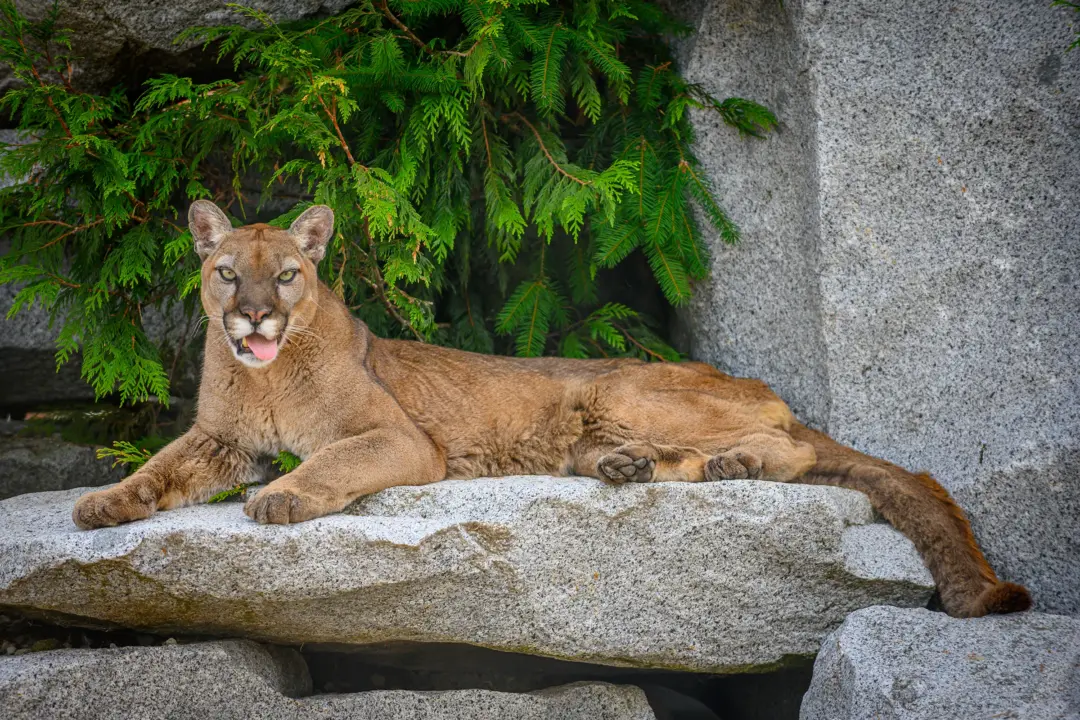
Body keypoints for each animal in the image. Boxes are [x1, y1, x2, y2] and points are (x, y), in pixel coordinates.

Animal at [72, 201, 1031, 619]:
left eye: (288, 276)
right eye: (227, 272)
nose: (253, 317)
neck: (266, 378)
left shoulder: (396, 438)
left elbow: (329, 462)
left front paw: (280, 498)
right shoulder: (219, 440)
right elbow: (160, 467)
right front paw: (103, 506)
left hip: (622, 385)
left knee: (786, 443)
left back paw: (736, 461)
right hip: (603, 412)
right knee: (682, 456)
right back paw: (628, 466)